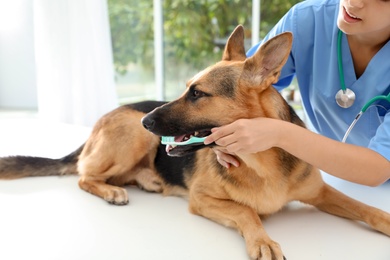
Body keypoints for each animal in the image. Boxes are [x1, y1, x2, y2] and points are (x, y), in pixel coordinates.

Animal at [2, 25, 390, 258]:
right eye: (186, 88)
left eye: (197, 94)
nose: (147, 120)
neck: (261, 163)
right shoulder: (202, 199)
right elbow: (247, 210)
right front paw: (262, 239)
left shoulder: (319, 193)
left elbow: (365, 207)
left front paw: (383, 219)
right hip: (131, 140)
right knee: (85, 176)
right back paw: (112, 190)